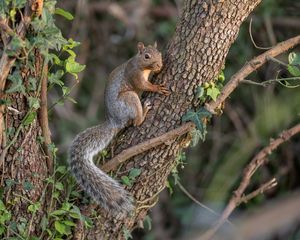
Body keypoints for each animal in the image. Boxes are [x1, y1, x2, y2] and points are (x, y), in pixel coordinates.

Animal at [69, 41, 170, 216]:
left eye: (159, 53)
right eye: (146, 56)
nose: (159, 65)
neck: (140, 65)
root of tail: (114, 121)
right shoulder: (134, 75)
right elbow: (144, 85)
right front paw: (157, 87)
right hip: (129, 98)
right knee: (137, 122)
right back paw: (145, 111)